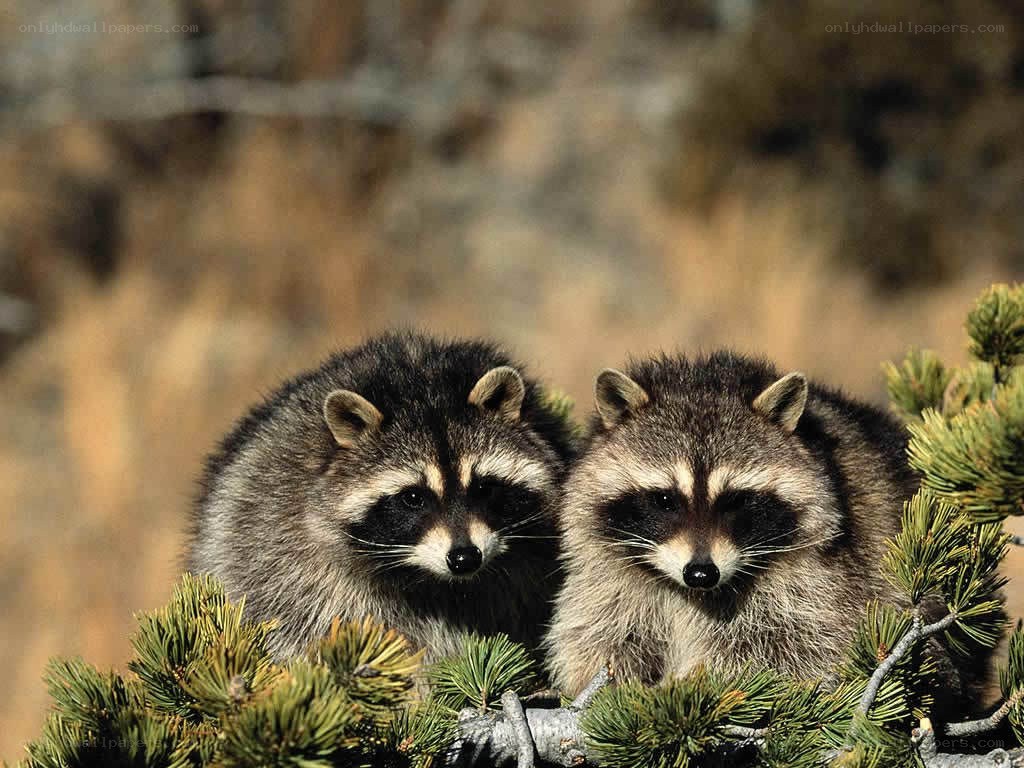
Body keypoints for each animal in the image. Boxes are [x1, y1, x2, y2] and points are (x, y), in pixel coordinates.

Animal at [545, 351, 923, 695]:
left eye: (736, 500)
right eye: (665, 500)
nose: (701, 573)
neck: (691, 593)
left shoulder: (820, 580)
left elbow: (788, 649)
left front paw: (692, 684)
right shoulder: (609, 579)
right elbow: (601, 636)